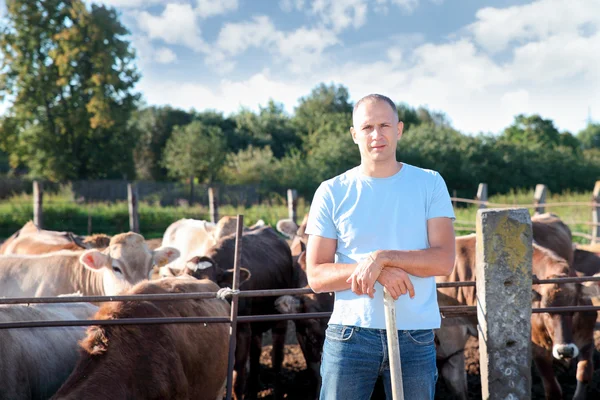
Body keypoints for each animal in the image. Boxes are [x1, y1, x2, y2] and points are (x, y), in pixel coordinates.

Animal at [436, 234, 600, 400]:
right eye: (546, 311)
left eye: (574, 308)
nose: (564, 351)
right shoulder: (538, 348)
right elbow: (553, 389)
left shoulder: (587, 339)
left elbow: (584, 374)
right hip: (451, 335)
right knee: (453, 377)